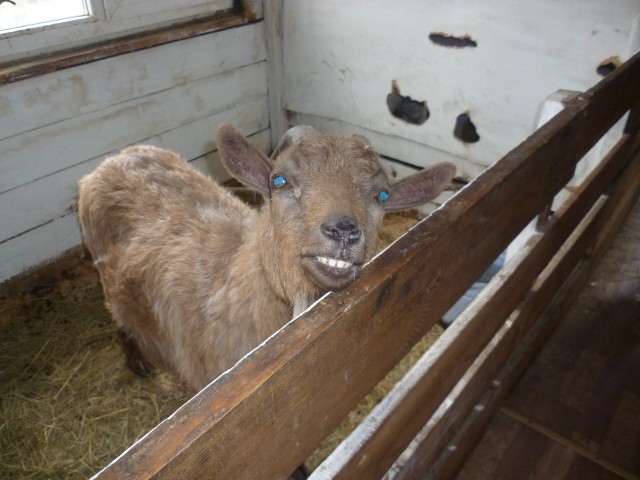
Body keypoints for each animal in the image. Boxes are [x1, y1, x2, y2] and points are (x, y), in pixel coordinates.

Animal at [77, 125, 456, 392]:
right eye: (279, 179)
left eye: (382, 195)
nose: (343, 231)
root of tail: (113, 160)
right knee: (119, 316)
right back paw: (136, 361)